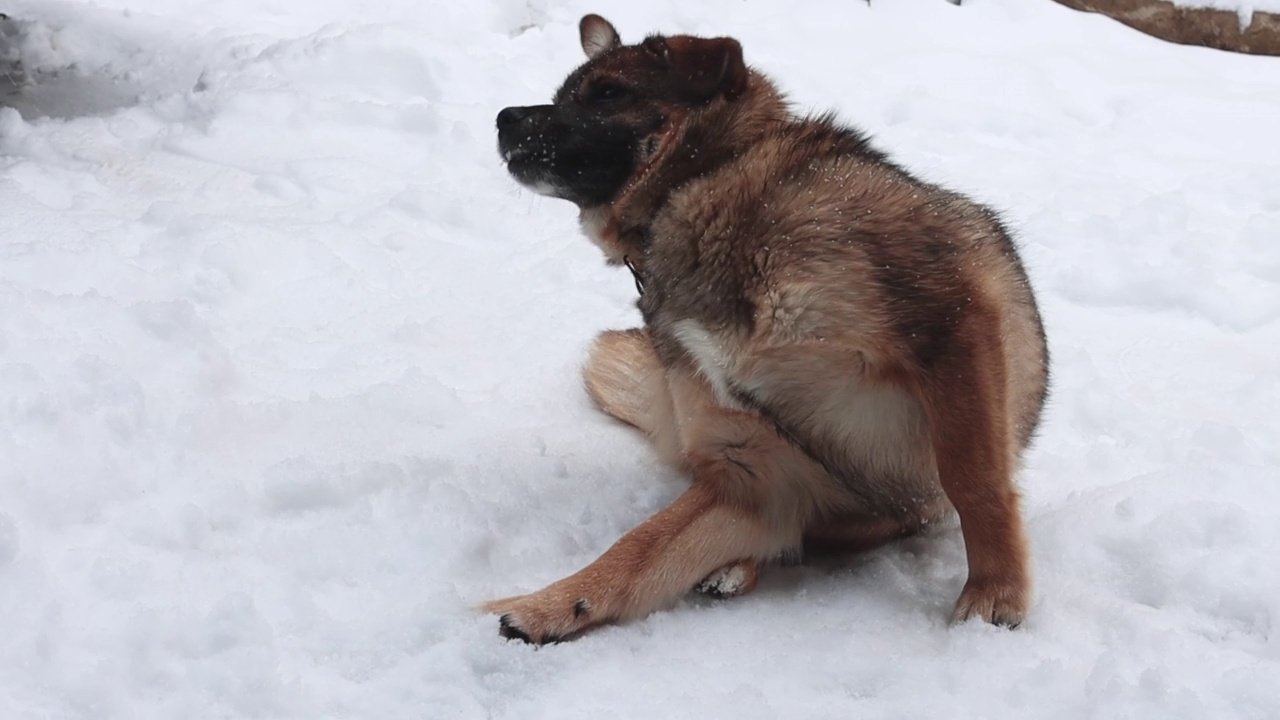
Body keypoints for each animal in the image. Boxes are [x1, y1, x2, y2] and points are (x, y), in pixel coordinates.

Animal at [483, 12, 1044, 638]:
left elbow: (974, 480)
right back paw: (733, 569)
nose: (503, 117)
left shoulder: (948, 312)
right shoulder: (752, 466)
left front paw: (994, 593)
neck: (703, 184)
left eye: (607, 93)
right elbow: (639, 549)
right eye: (561, 94)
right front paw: (554, 605)